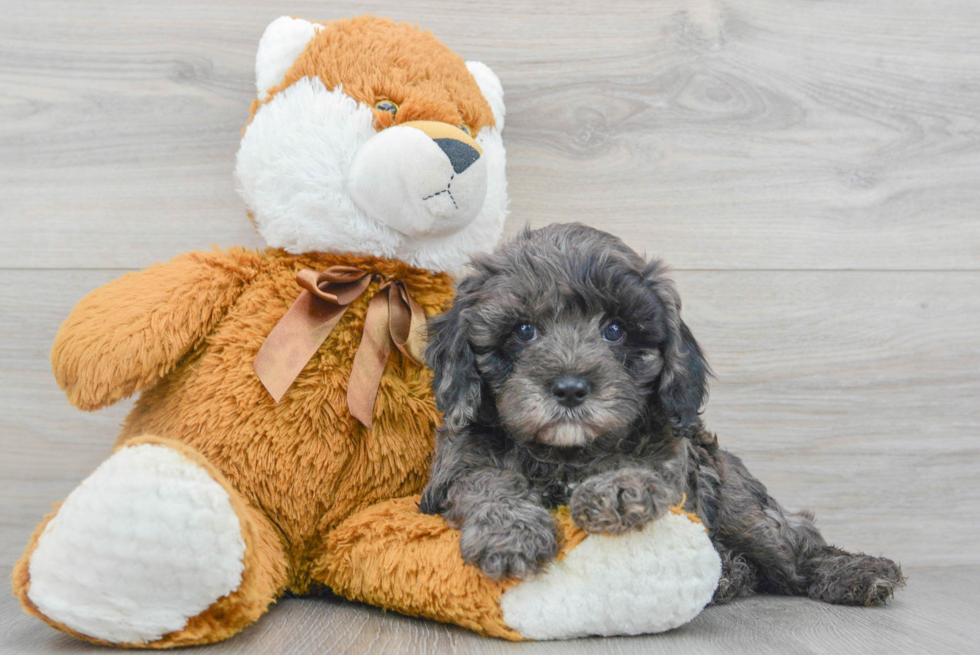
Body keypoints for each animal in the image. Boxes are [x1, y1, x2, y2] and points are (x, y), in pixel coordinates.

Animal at [418, 223, 908, 608]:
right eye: (524, 330)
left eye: (615, 330)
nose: (571, 388)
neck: (567, 453)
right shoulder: (454, 471)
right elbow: (488, 482)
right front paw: (512, 534)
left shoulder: (673, 461)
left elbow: (644, 467)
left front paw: (618, 490)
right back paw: (730, 575)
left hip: (741, 507)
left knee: (793, 550)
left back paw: (857, 573)